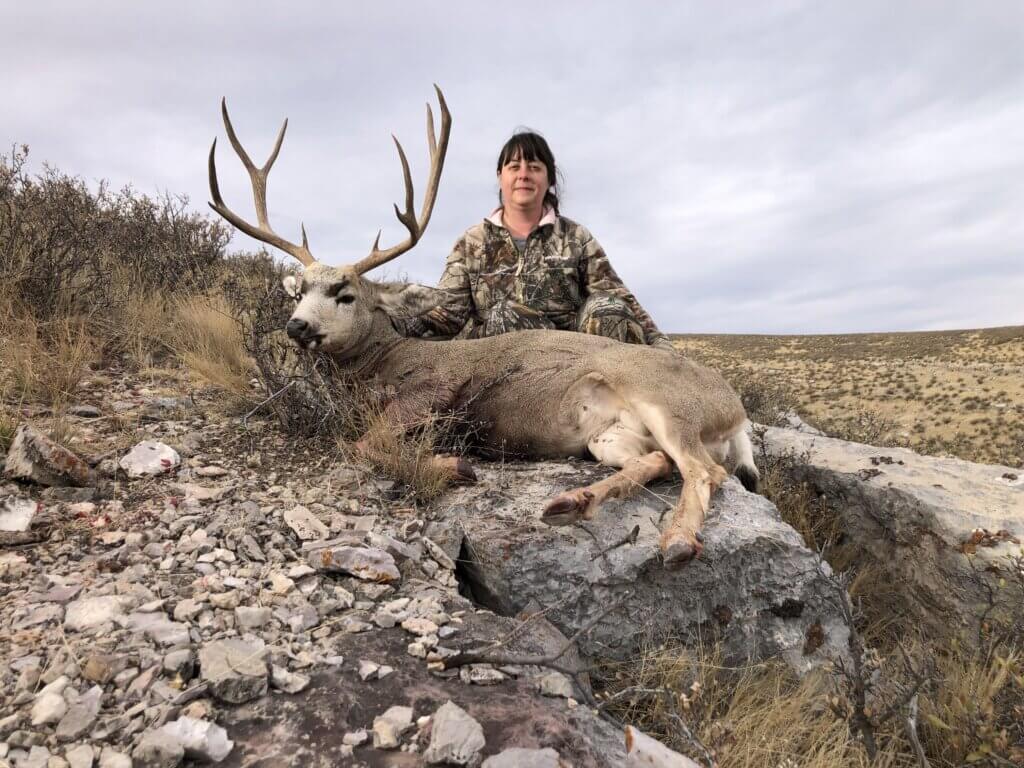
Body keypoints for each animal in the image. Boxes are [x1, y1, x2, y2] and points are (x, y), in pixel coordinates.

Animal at [207, 86, 759, 568]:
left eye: (345, 293)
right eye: (299, 290)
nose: (296, 326)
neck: (383, 364)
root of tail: (736, 413)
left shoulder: (430, 395)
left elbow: (363, 445)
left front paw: (456, 465)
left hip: (663, 399)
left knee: (704, 469)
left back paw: (677, 541)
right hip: (611, 437)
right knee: (659, 463)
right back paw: (570, 502)